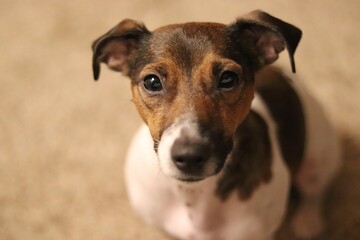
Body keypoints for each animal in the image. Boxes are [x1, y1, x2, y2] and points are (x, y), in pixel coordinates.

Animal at [92, 9, 340, 240]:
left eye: (228, 78)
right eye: (152, 82)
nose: (189, 156)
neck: (193, 193)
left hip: (318, 158)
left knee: (314, 192)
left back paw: (307, 220)